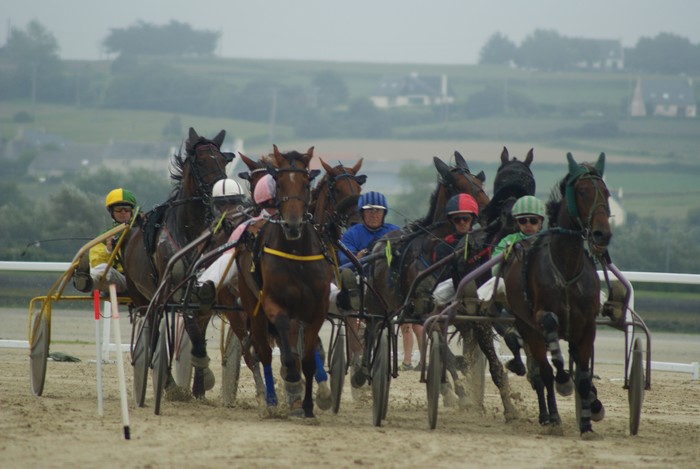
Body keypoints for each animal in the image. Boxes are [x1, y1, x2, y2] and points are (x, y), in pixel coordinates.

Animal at [122, 126, 232, 400]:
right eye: (201, 162)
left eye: (223, 160)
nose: (221, 196)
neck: (188, 232)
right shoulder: (171, 290)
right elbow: (190, 327)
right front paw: (198, 374)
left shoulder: (203, 292)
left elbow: (197, 331)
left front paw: (200, 384)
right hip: (144, 297)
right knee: (152, 331)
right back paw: (165, 380)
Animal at [235, 145, 334, 416]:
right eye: (278, 183)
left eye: (306, 183)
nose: (292, 225)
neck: (297, 254)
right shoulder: (272, 302)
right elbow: (286, 350)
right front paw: (291, 379)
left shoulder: (317, 309)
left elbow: (309, 358)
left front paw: (310, 404)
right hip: (252, 304)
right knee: (264, 352)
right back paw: (270, 399)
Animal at [504, 151, 612, 436]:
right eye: (583, 191)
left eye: (606, 192)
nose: (602, 233)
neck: (566, 268)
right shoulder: (539, 317)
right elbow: (552, 339)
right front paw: (564, 382)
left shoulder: (587, 326)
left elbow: (584, 375)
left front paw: (587, 420)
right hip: (527, 327)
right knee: (543, 372)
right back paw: (551, 415)